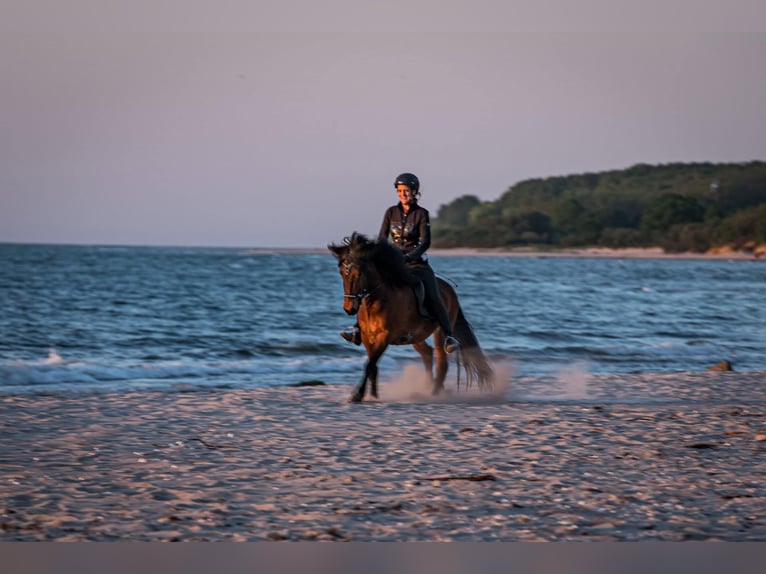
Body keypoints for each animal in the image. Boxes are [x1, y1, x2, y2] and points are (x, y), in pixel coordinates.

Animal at [328, 232, 496, 402]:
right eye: (341, 273)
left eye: (359, 273)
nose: (349, 308)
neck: (376, 301)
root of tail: (449, 290)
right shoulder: (367, 337)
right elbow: (372, 366)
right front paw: (373, 395)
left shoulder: (384, 337)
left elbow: (369, 365)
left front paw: (358, 395)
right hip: (416, 336)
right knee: (427, 354)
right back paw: (429, 388)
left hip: (440, 331)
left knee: (442, 362)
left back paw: (435, 393)